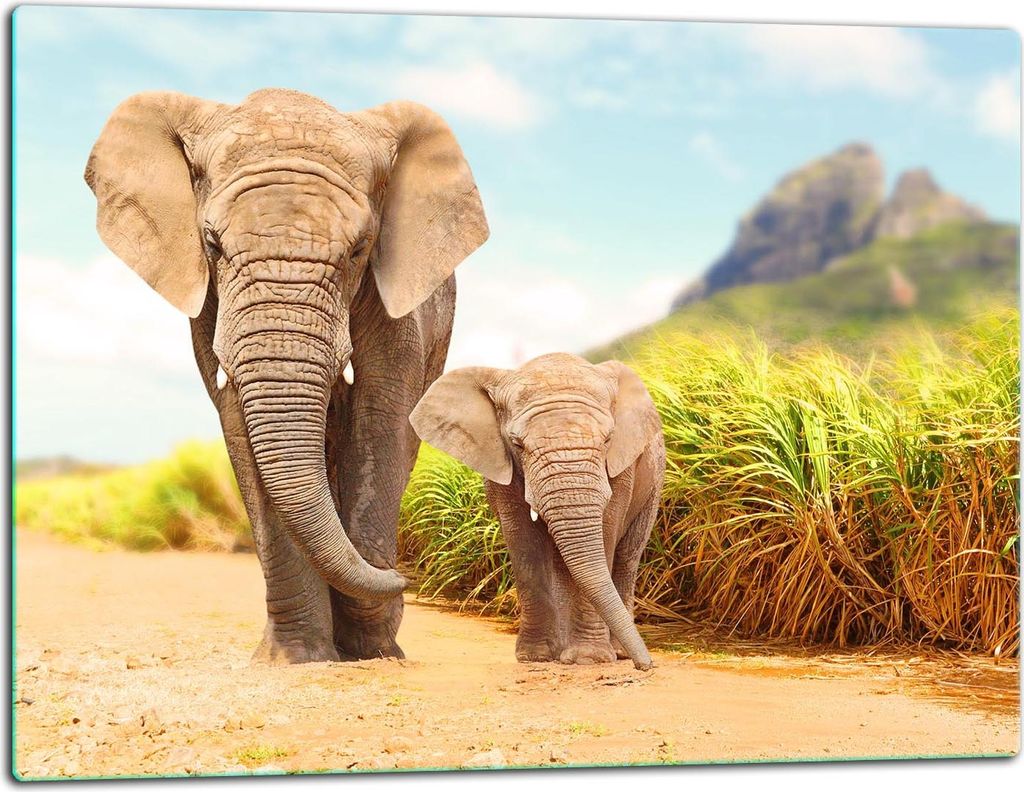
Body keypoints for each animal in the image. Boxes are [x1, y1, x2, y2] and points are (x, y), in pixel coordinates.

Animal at [84, 88, 488, 663]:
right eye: (212, 245)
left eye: (360, 250)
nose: (405, 578)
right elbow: (238, 421)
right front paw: (296, 659)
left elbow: (381, 415)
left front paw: (371, 649)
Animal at [409, 353, 665, 670]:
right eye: (517, 443)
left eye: (608, 440)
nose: (648, 666)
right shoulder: (501, 466)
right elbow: (524, 542)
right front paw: (535, 657)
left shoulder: (621, 467)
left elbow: (605, 533)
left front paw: (588, 659)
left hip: (654, 484)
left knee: (627, 557)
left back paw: (616, 652)